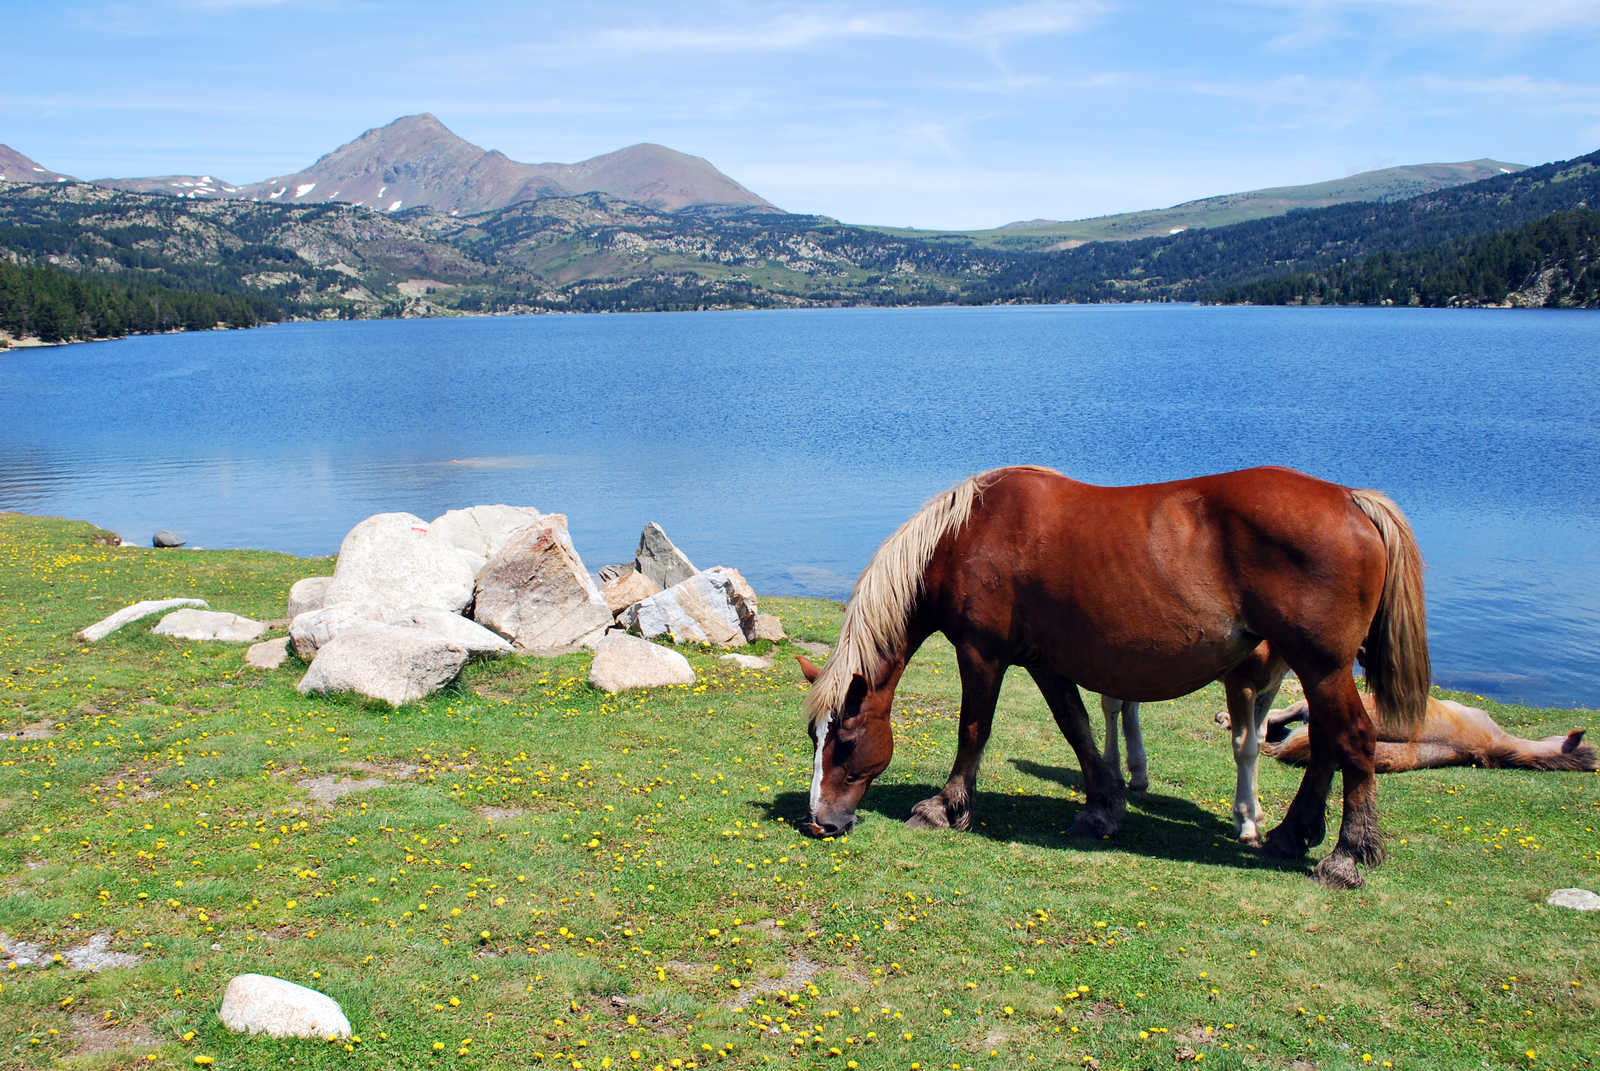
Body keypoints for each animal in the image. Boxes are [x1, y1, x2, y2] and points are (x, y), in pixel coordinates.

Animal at [799, 465, 1430, 889]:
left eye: (845, 742)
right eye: (814, 738)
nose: (819, 822)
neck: (968, 533)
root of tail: (1352, 499)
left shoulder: (982, 654)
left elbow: (973, 729)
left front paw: (944, 807)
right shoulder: (1044, 661)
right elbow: (1077, 728)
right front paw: (1103, 807)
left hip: (1322, 667)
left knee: (1352, 740)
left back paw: (1347, 854)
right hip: (1316, 669)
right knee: (1325, 744)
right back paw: (1288, 835)